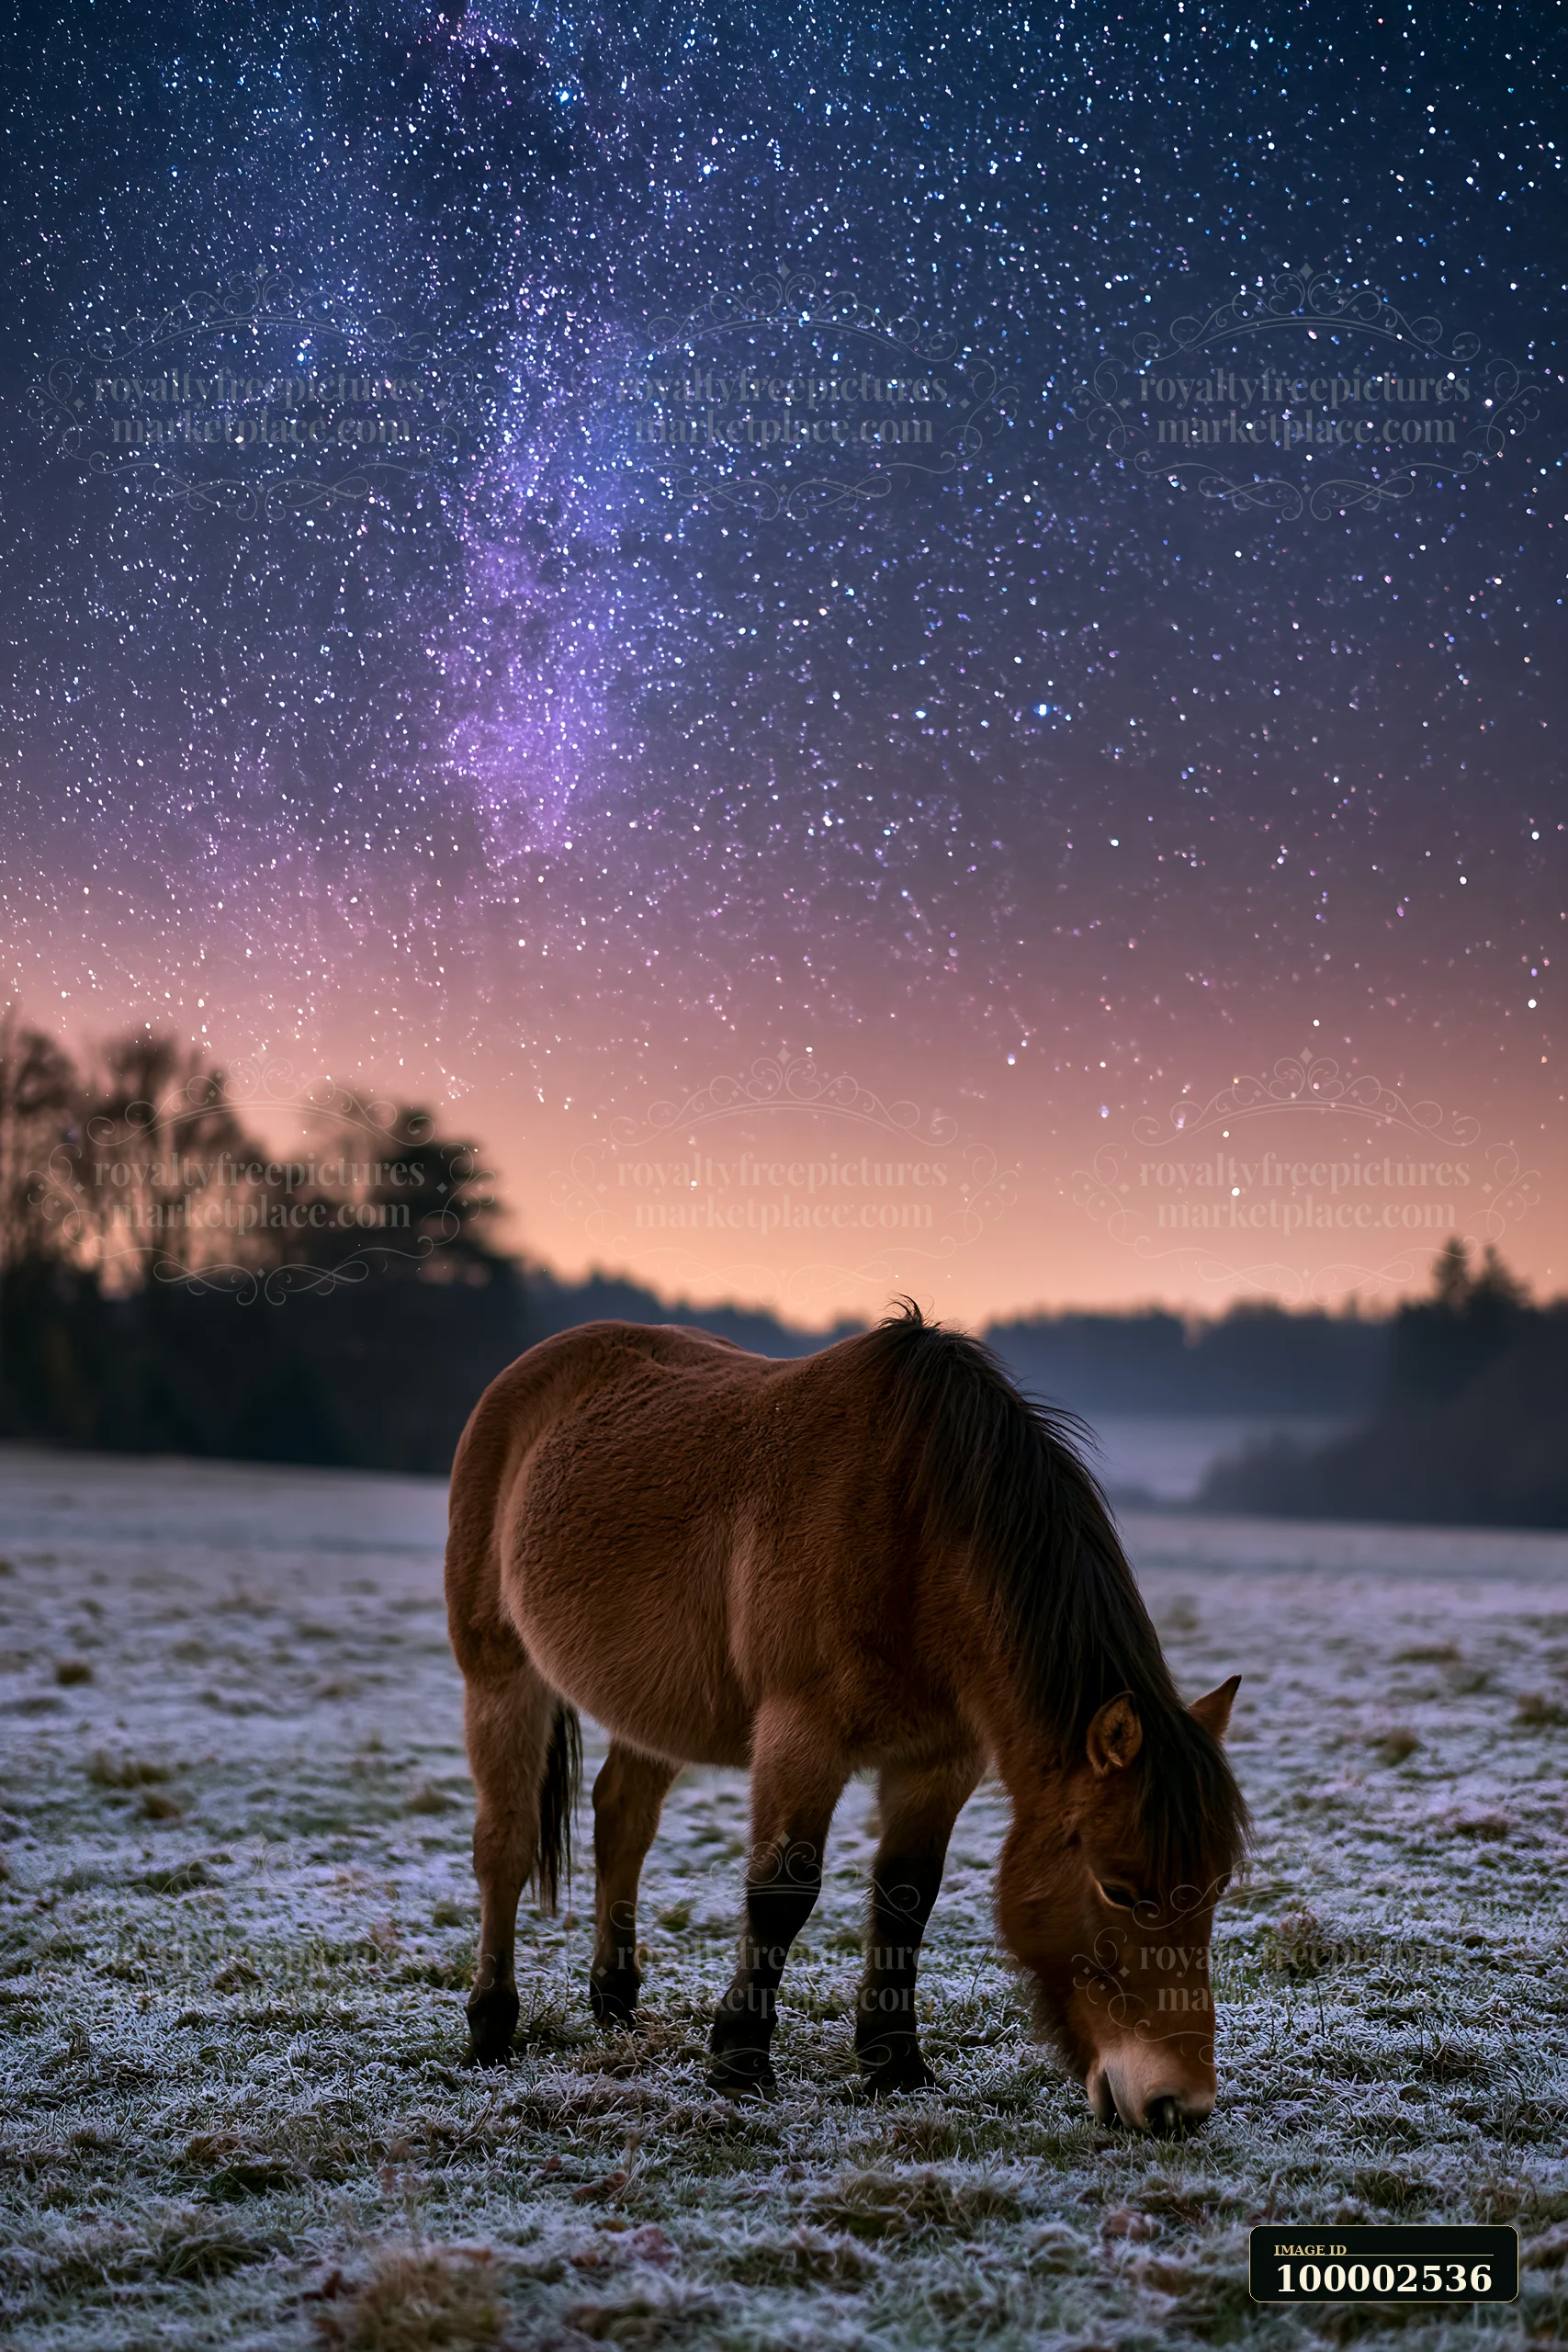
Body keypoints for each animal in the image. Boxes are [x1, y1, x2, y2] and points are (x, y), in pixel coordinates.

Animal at [443, 1304, 1249, 2133]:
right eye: (1119, 1888)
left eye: (1216, 1883)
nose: (1176, 2104)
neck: (911, 1529)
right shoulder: (801, 1738)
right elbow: (782, 1893)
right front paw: (740, 2061)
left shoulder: (939, 1760)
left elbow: (906, 1899)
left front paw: (895, 2065)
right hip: (499, 1674)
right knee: (504, 1845)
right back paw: (491, 2026)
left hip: (651, 1704)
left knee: (621, 1821)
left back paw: (614, 2006)